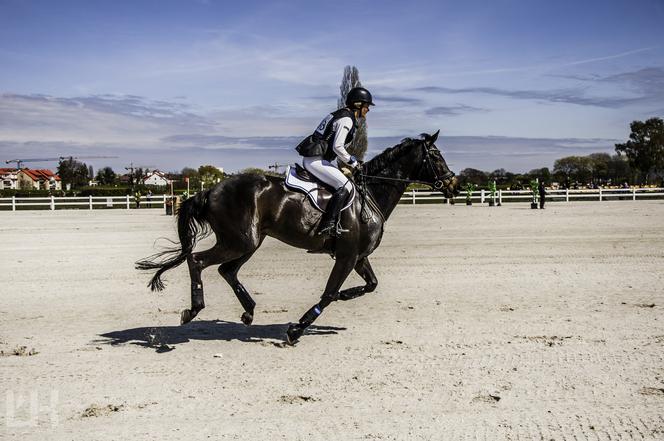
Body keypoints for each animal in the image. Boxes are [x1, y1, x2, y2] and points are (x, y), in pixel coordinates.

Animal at [135, 131, 456, 344]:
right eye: (436, 156)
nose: (453, 184)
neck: (372, 194)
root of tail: (210, 190)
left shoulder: (358, 257)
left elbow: (371, 285)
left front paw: (344, 295)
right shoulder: (347, 256)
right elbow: (328, 293)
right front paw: (297, 329)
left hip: (249, 242)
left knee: (227, 270)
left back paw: (248, 312)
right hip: (239, 241)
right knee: (197, 260)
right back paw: (193, 310)